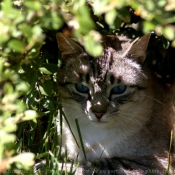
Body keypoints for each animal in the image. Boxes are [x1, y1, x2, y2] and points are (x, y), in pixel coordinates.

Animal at [56, 33, 175, 174]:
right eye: (82, 88)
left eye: (119, 89)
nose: (98, 113)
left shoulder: (153, 166)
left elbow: (93, 165)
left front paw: (44, 165)